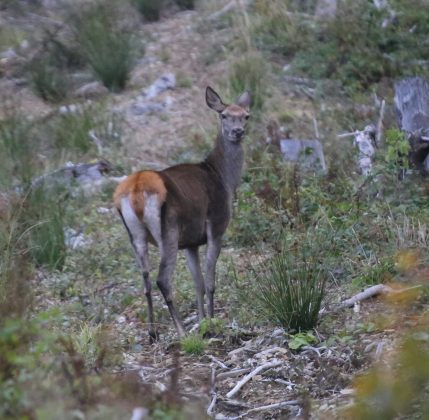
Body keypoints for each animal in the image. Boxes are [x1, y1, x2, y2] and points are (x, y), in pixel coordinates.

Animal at [113, 87, 251, 340]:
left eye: (246, 115)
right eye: (224, 115)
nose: (238, 132)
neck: (224, 179)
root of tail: (135, 190)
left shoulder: (190, 243)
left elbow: (198, 282)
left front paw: (202, 320)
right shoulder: (216, 226)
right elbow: (209, 280)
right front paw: (212, 322)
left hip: (135, 235)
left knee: (145, 278)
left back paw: (152, 332)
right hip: (168, 230)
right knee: (162, 278)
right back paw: (180, 331)